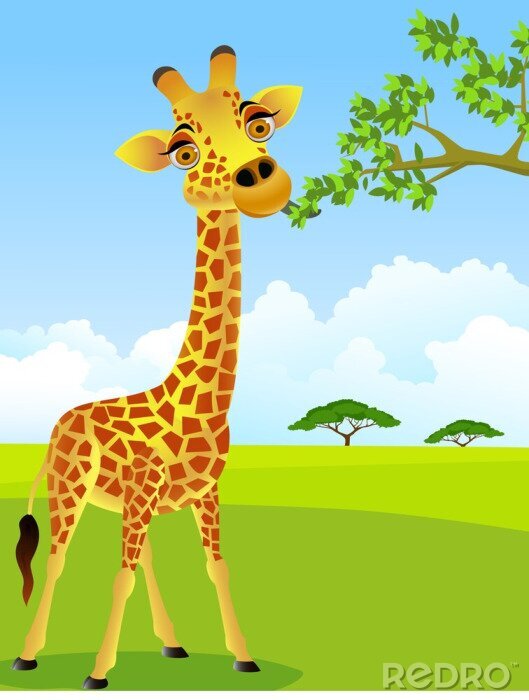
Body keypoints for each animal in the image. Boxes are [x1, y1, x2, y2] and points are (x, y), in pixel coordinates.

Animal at [12, 46, 302, 690]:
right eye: (183, 151)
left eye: (258, 123)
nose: (259, 178)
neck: (197, 402)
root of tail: (56, 426)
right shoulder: (145, 495)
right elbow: (114, 575)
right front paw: (96, 675)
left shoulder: (204, 494)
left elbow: (217, 568)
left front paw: (244, 657)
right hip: (73, 490)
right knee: (58, 559)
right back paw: (27, 654)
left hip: (123, 503)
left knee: (138, 559)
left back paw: (172, 645)